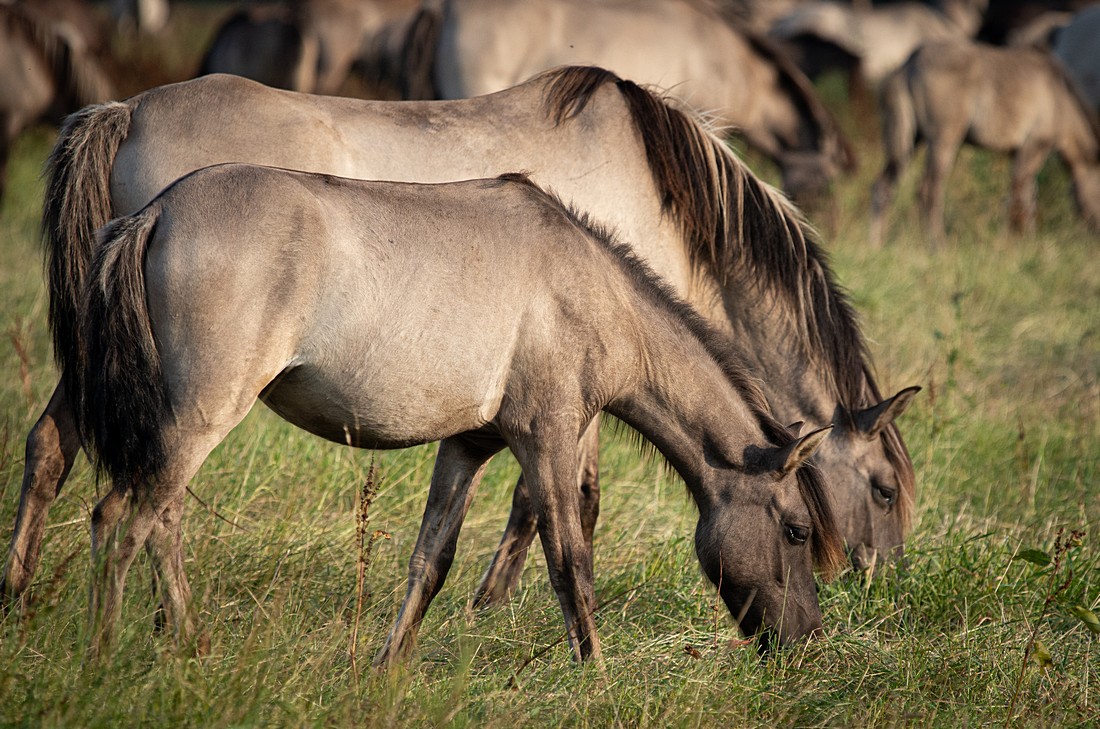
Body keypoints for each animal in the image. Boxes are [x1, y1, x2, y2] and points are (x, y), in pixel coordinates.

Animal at [2, 68, 919, 620]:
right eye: (880, 489)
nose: (879, 589)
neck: (648, 189)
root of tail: (126, 110)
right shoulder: (568, 391)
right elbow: (560, 502)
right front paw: (492, 607)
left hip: (111, 363)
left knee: (54, 449)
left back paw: (23, 593)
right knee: (146, 500)